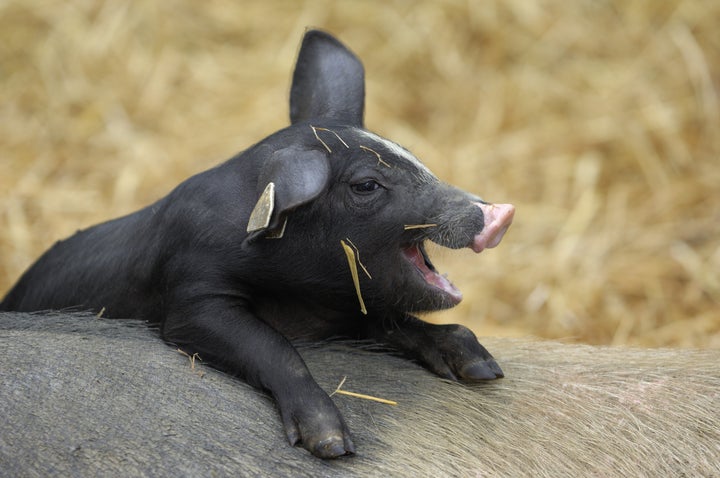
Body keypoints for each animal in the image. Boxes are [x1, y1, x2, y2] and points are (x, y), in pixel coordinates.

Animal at [2, 30, 516, 460]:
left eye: (413, 156)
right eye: (367, 185)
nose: (497, 212)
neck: (301, 297)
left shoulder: (345, 311)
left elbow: (399, 323)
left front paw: (483, 368)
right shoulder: (193, 295)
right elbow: (271, 346)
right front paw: (333, 445)